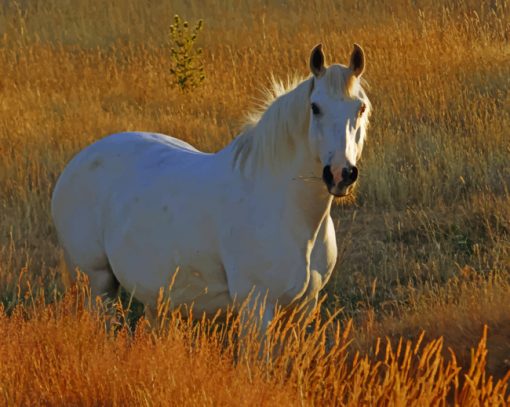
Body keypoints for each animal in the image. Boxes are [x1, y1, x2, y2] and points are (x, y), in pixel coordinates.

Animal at [50, 44, 370, 332]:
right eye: (315, 108)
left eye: (361, 107)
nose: (341, 174)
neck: (287, 210)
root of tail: (77, 162)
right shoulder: (256, 307)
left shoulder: (304, 308)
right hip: (97, 283)